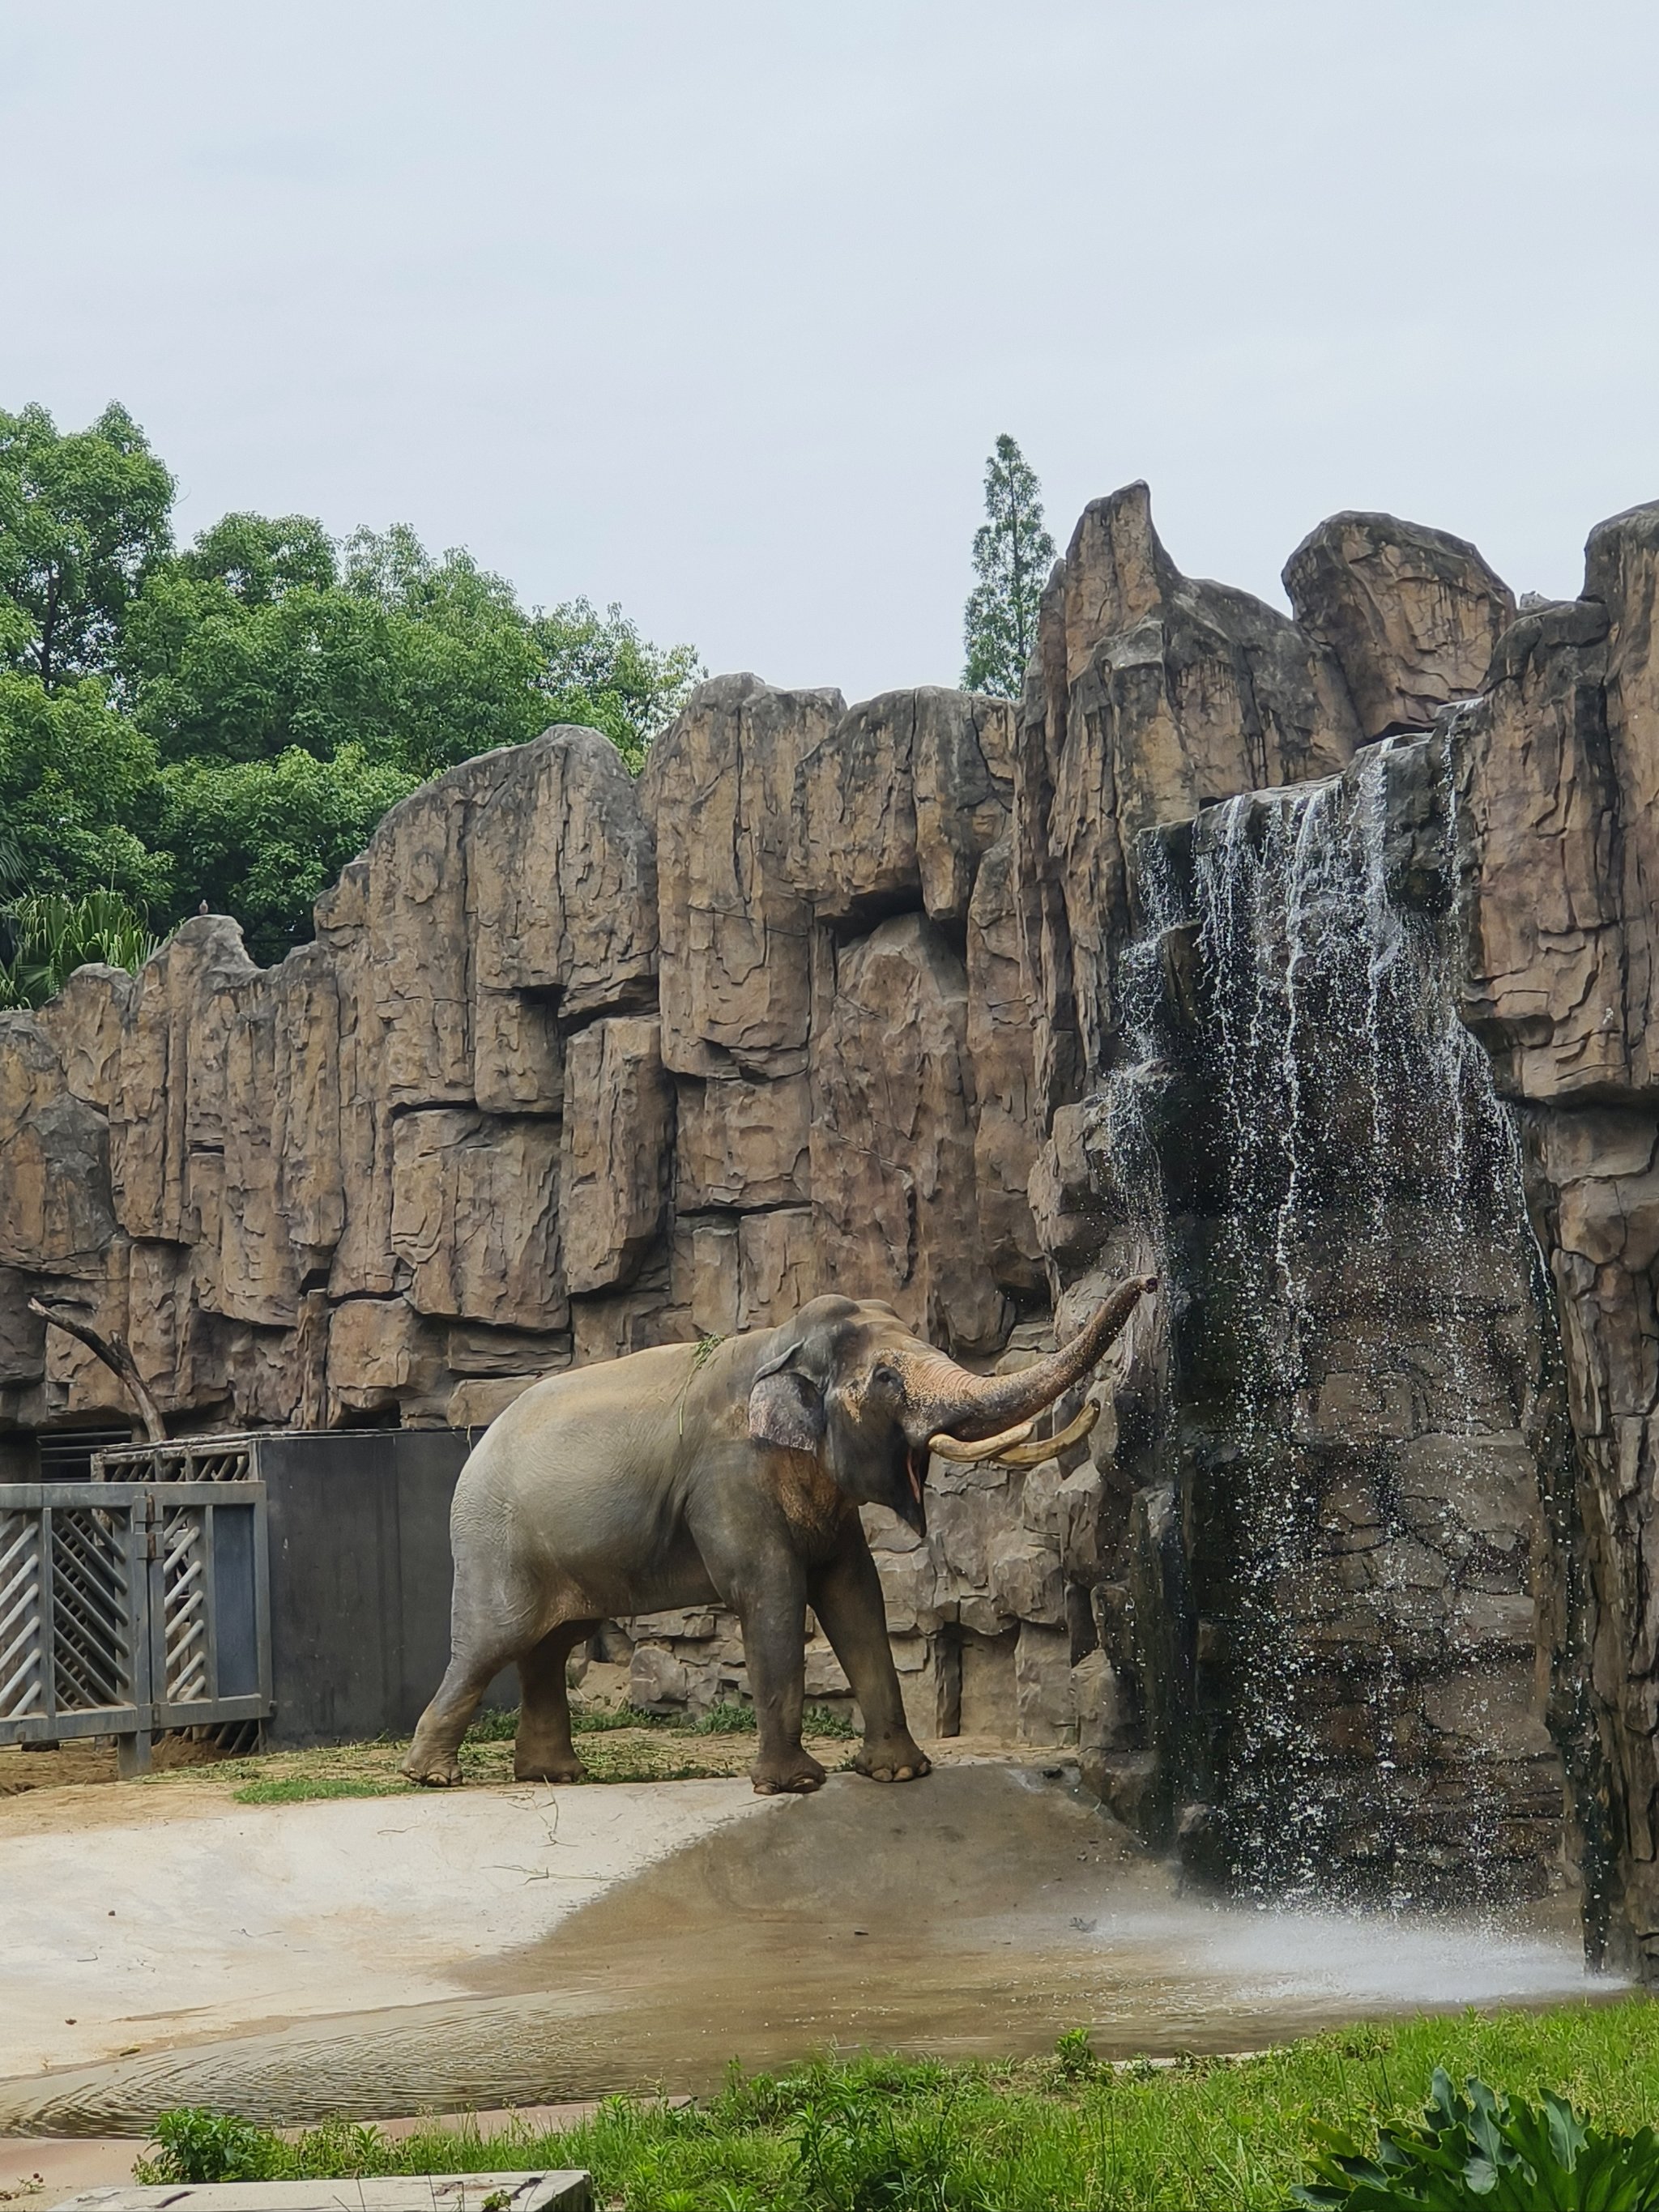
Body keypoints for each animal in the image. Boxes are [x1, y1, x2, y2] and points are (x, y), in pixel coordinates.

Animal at [402, 1274, 1158, 1787]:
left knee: (550, 1646)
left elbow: (855, 1592)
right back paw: (432, 1775)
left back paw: (555, 1775)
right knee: (492, 1643)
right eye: (886, 1377)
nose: (1150, 1280)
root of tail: (478, 1443)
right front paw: (795, 1784)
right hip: (494, 1545)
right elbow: (771, 1587)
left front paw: (899, 1772)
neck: (774, 1341)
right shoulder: (725, 1475)